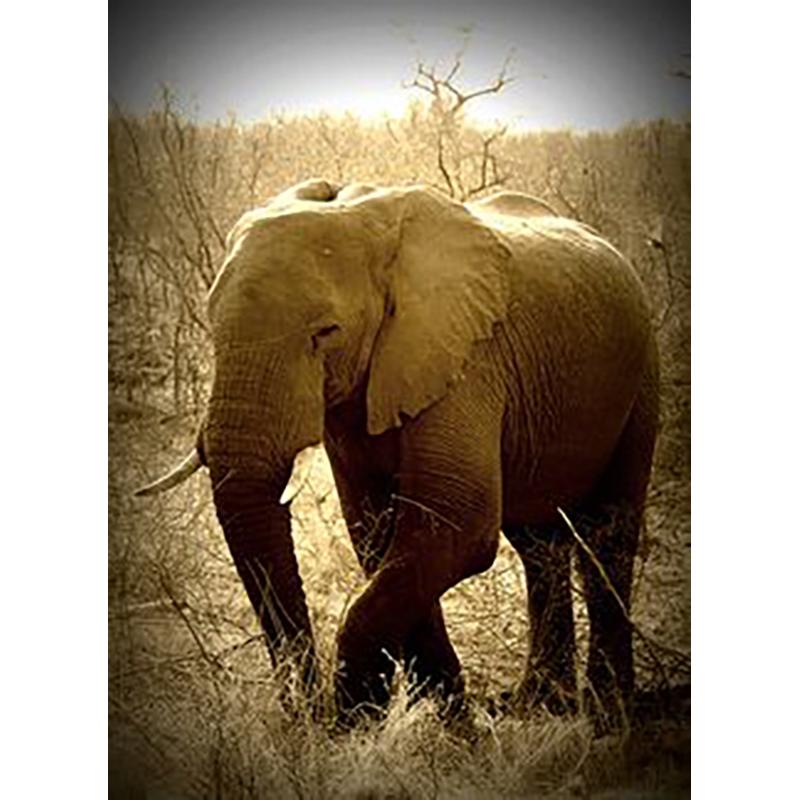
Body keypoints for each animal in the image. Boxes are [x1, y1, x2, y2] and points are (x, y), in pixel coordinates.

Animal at [137, 178, 659, 730]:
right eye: (213, 324)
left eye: (326, 333)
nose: (311, 718)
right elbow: (381, 534)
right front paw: (446, 722)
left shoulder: (466, 359)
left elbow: (456, 525)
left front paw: (357, 717)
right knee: (539, 542)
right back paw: (541, 707)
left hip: (641, 373)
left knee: (609, 530)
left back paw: (607, 714)